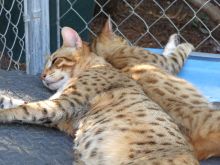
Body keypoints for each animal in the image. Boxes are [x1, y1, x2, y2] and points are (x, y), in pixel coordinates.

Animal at [90, 18, 220, 160]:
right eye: (122, 38)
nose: (128, 40)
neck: (110, 57)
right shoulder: (168, 62)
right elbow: (178, 51)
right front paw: (186, 44)